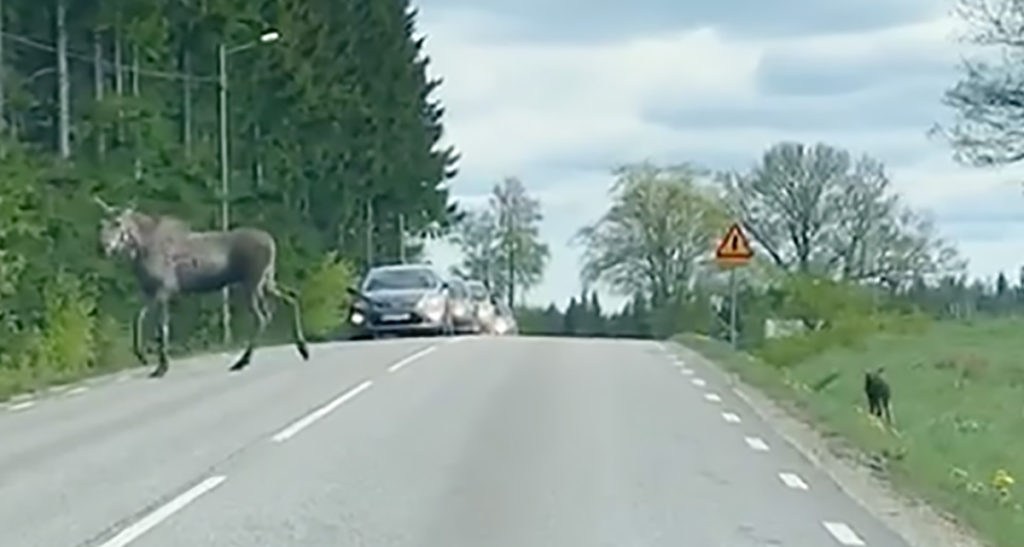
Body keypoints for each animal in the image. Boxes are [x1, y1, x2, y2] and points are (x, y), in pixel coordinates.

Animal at [95, 198, 307, 381]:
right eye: (101, 224)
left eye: (118, 223)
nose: (103, 247)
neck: (139, 251)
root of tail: (272, 242)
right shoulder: (150, 292)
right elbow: (138, 319)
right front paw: (143, 357)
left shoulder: (165, 290)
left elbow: (161, 328)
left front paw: (161, 367)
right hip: (267, 282)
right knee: (291, 298)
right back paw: (302, 348)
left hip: (252, 283)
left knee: (262, 317)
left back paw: (242, 361)